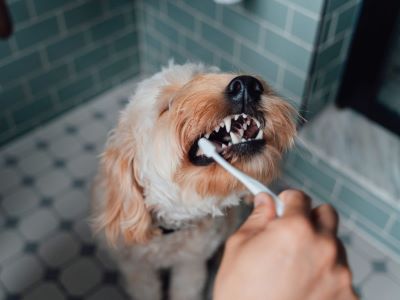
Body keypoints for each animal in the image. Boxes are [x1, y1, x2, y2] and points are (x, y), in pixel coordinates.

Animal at [91, 62, 296, 298]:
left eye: (206, 75)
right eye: (167, 106)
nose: (246, 85)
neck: (170, 230)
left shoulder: (191, 263)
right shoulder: (137, 269)